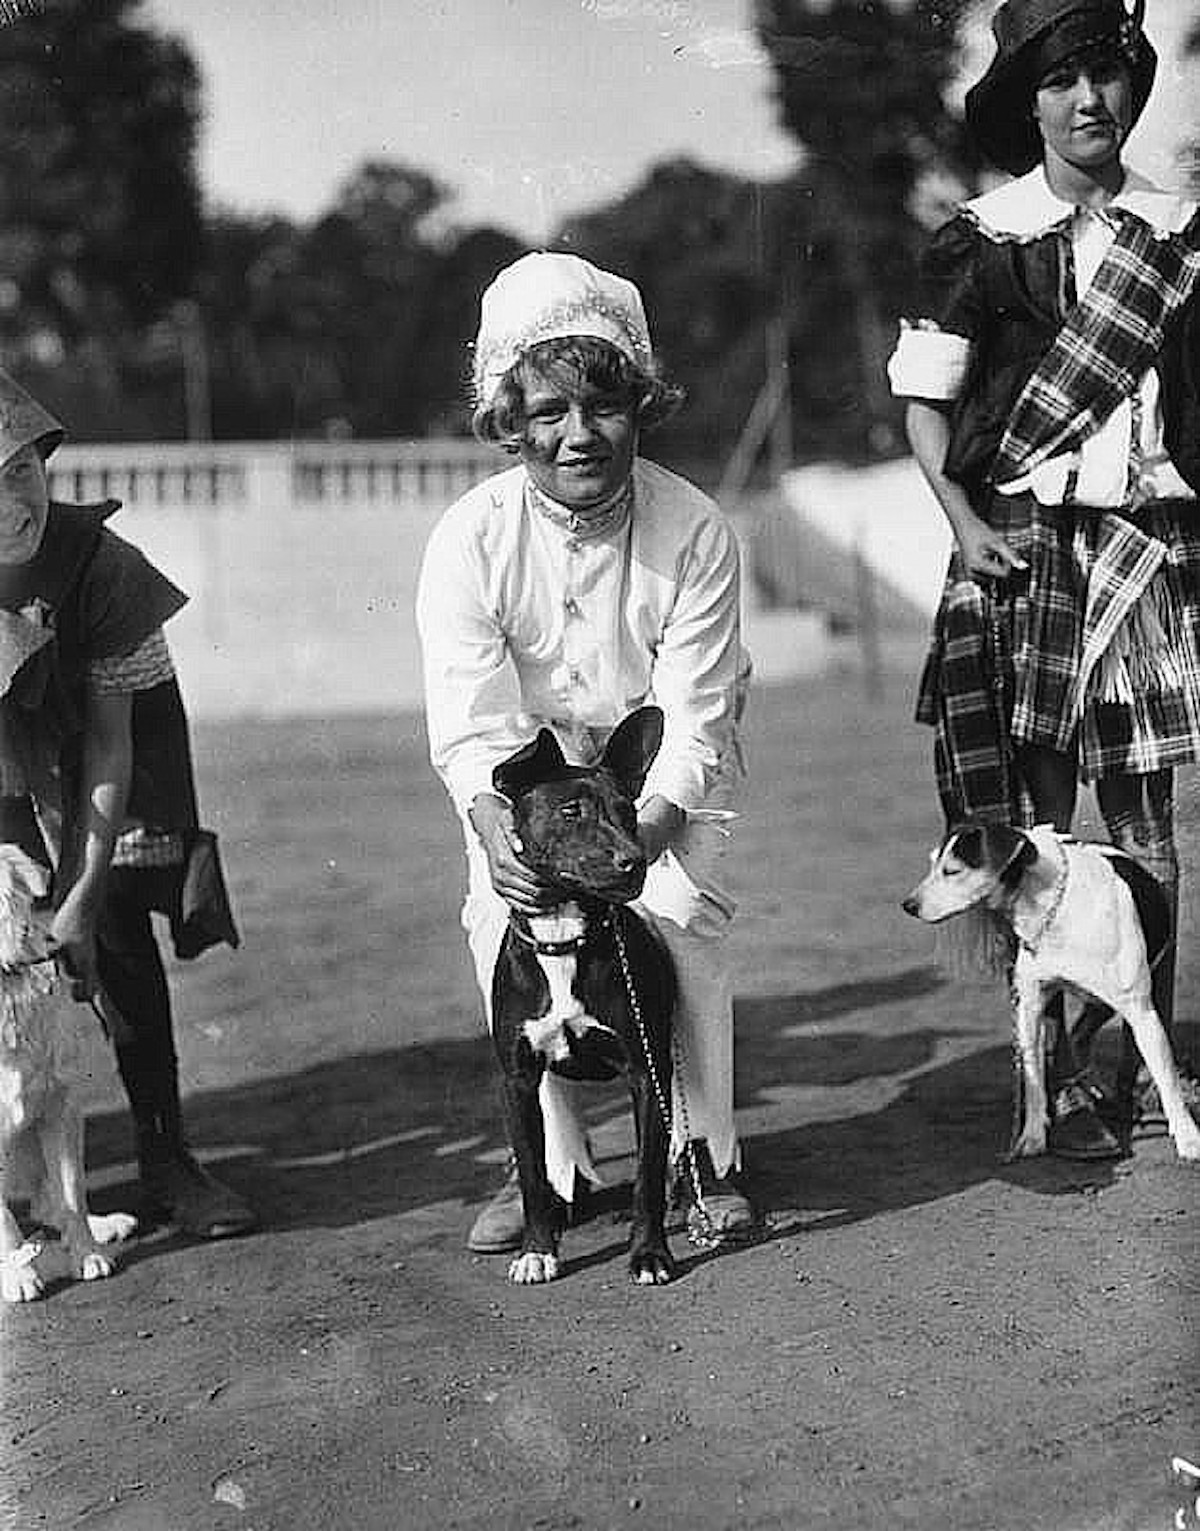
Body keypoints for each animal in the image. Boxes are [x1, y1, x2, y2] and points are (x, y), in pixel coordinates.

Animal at [0, 845, 134, 1298]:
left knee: (49, 1198)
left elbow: (73, 1192)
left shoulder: (60, 1108)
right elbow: (5, 1224)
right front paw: (18, 1276)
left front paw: (87, 1254)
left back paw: (105, 1226)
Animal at [483, 710, 673, 1286]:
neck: (565, 936)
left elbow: (646, 1175)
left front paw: (649, 1254)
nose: (634, 861)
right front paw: (537, 1251)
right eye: (571, 811)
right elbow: (533, 1174)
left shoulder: (646, 1073)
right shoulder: (518, 1081)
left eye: (629, 812)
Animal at [906, 826, 1200, 1157]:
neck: (1054, 910)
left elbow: (1167, 1080)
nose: (909, 905)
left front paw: (1188, 1138)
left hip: (1133, 994)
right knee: (1078, 1037)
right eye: (933, 863)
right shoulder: (1030, 1008)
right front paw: (1033, 1134)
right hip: (1096, 1004)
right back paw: (1096, 1090)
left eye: (952, 870)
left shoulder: (1141, 1012)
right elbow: (1033, 1079)